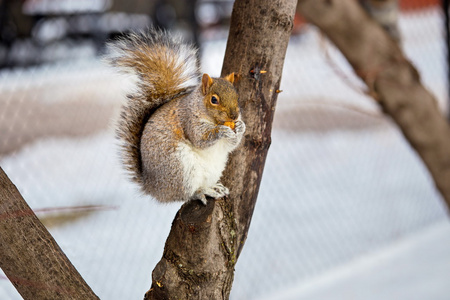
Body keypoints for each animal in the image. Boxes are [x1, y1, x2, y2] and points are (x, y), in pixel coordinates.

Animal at [106, 30, 246, 204]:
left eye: (236, 95)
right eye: (214, 100)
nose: (234, 116)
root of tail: (153, 188)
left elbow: (231, 145)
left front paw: (241, 127)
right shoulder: (188, 120)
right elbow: (200, 139)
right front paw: (221, 131)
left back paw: (214, 187)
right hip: (180, 170)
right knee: (186, 194)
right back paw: (202, 192)